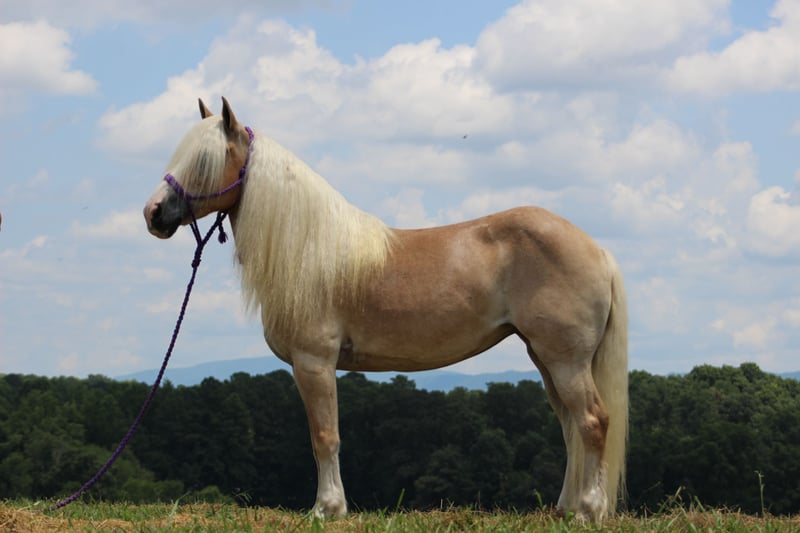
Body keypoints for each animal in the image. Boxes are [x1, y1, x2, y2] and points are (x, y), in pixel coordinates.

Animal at [143, 97, 628, 522]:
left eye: (204, 161)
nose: (153, 214)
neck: (310, 250)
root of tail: (598, 250)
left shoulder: (314, 362)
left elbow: (324, 436)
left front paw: (327, 509)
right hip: (546, 358)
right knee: (570, 427)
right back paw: (564, 508)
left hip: (565, 361)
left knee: (592, 422)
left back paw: (588, 511)